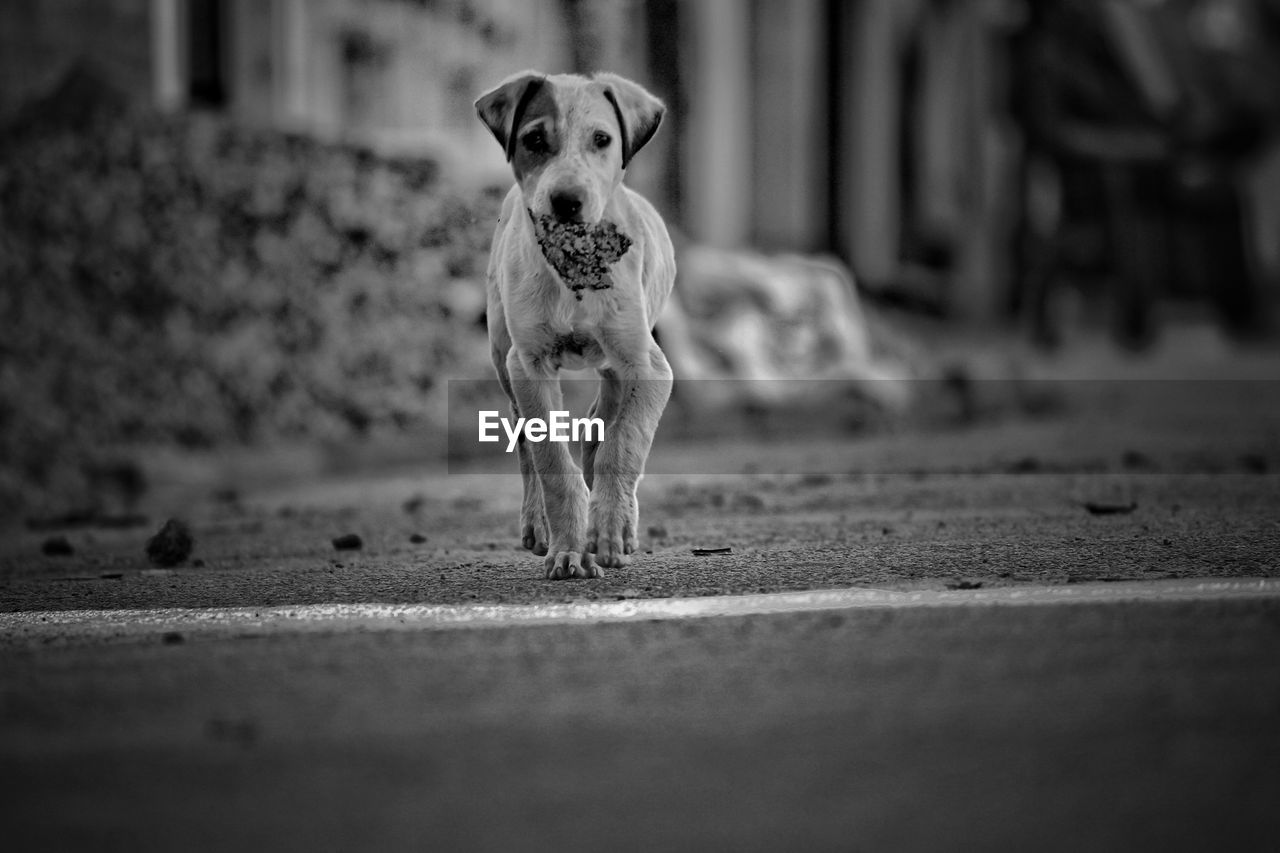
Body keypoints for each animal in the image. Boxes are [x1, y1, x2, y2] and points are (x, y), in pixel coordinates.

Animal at [478, 71, 680, 578]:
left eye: (602, 140)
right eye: (534, 140)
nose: (567, 201)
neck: (573, 265)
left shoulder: (649, 366)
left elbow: (624, 443)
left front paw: (610, 530)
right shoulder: (528, 364)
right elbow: (551, 459)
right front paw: (568, 549)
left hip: (617, 364)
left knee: (601, 423)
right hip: (502, 354)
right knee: (526, 440)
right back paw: (539, 525)